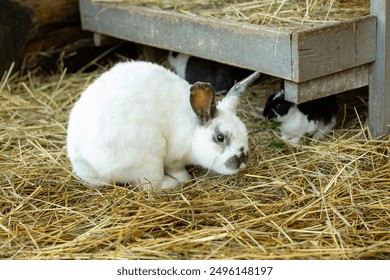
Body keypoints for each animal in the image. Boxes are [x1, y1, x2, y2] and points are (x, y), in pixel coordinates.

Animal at [68, 60, 258, 189]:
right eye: (220, 137)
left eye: (245, 132)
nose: (241, 162)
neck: (192, 130)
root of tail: (87, 162)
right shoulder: (174, 158)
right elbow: (176, 169)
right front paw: (184, 177)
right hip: (150, 157)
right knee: (151, 186)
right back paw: (173, 183)